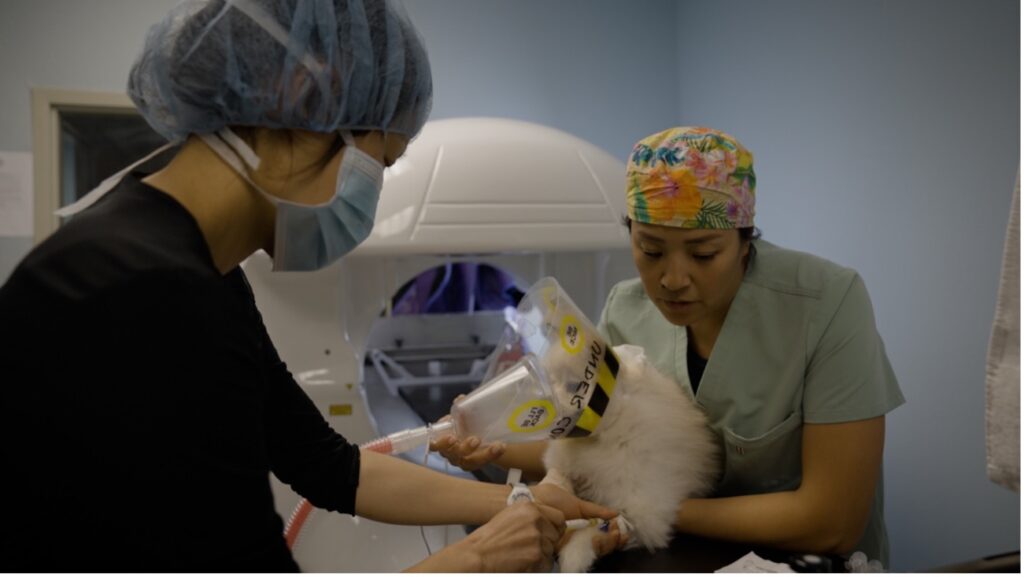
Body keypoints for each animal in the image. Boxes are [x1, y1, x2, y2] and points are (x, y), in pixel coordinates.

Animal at [540, 346, 716, 569]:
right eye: (551, 380)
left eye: (573, 386)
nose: (543, 403)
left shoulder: (643, 514)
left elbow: (591, 528)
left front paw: (573, 558)